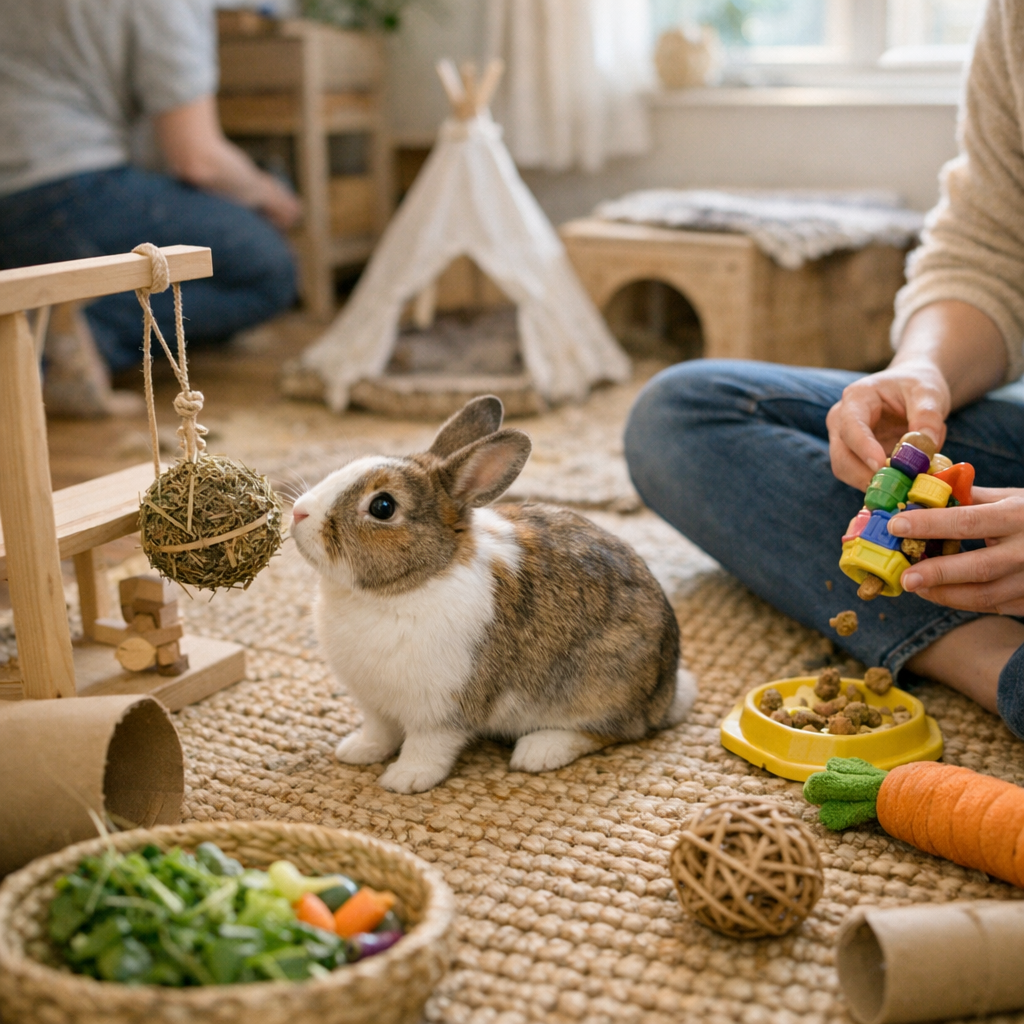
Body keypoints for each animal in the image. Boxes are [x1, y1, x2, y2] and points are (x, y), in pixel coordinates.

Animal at [290, 395, 697, 794]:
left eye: (383, 506)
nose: (298, 512)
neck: (410, 585)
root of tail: (665, 694)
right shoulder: (375, 704)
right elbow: (379, 731)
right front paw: (357, 751)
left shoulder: (442, 709)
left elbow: (427, 747)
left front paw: (405, 779)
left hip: (598, 687)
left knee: (615, 731)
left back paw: (539, 751)